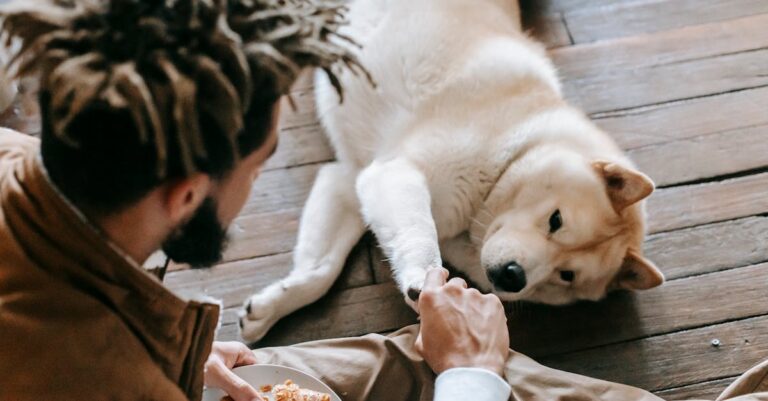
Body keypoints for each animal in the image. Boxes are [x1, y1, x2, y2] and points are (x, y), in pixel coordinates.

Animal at [238, 0, 660, 340]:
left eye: (566, 275)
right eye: (556, 220)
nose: (513, 276)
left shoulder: (351, 180)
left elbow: (321, 270)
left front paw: (271, 307)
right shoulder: (395, 173)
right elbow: (419, 236)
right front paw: (422, 280)